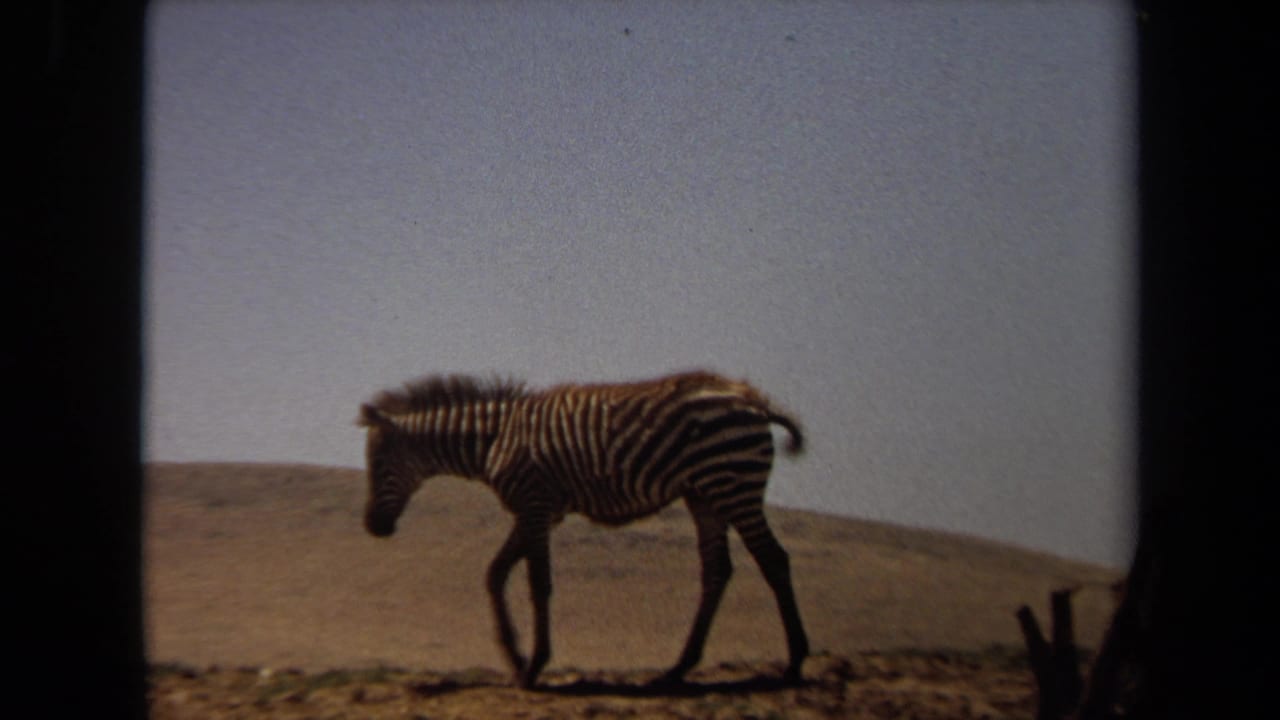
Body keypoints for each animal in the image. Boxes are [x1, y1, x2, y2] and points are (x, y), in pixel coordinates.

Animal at [357, 370, 810, 688]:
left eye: (378, 463)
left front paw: (534, 666)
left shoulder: (536, 508)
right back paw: (678, 668)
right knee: (717, 570)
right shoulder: (535, 513)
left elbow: (538, 584)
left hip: (732, 484)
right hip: (706, 495)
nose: (373, 527)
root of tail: (751, 399)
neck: (493, 440)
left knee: (773, 559)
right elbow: (496, 574)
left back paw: (794, 662)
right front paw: (515, 657)